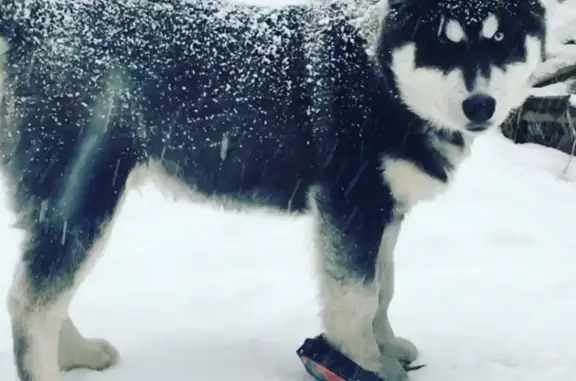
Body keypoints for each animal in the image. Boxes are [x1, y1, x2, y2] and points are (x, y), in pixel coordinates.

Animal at [0, 0, 548, 378]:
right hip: (87, 185)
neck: (380, 76)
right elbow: (357, 298)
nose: (480, 105)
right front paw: (366, 363)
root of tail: (32, 16)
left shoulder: (383, 209)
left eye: (501, 39)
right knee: (33, 301)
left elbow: (384, 288)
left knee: (45, 290)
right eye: (442, 43)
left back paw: (75, 353)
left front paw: (385, 345)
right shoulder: (351, 204)